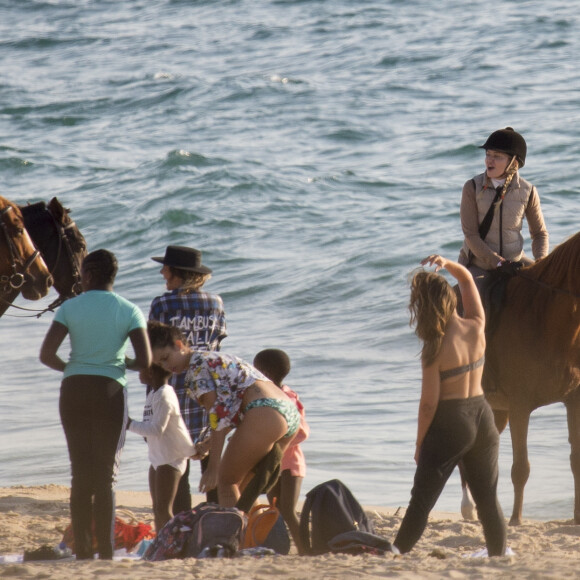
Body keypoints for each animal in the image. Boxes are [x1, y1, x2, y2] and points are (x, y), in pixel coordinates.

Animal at [462, 231, 580, 524]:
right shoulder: (520, 407)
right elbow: (521, 468)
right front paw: (515, 519)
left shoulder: (573, 401)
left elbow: (575, 459)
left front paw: (577, 516)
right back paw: (469, 508)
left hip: (496, 411)